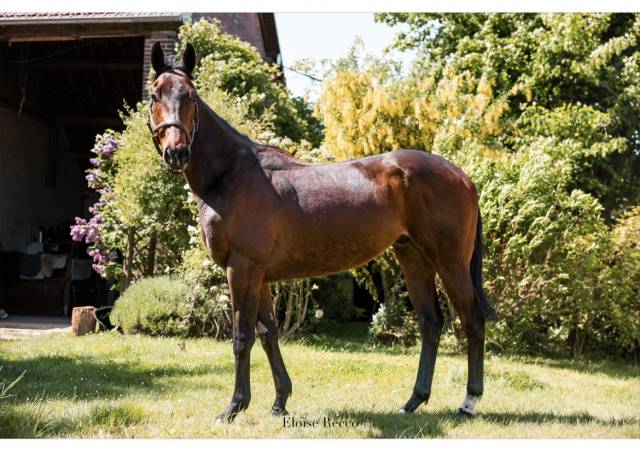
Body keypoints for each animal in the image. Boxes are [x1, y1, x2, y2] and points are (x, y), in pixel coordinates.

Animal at [147, 42, 496, 424]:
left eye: (191, 96)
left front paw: (234, 407)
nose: (176, 152)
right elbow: (268, 334)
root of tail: (463, 177)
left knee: (472, 320)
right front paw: (279, 402)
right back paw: (412, 402)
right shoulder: (260, 275)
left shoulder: (241, 268)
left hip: (450, 263)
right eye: (154, 95)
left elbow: (242, 337)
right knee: (430, 323)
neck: (232, 174)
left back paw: (469, 401)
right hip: (413, 257)